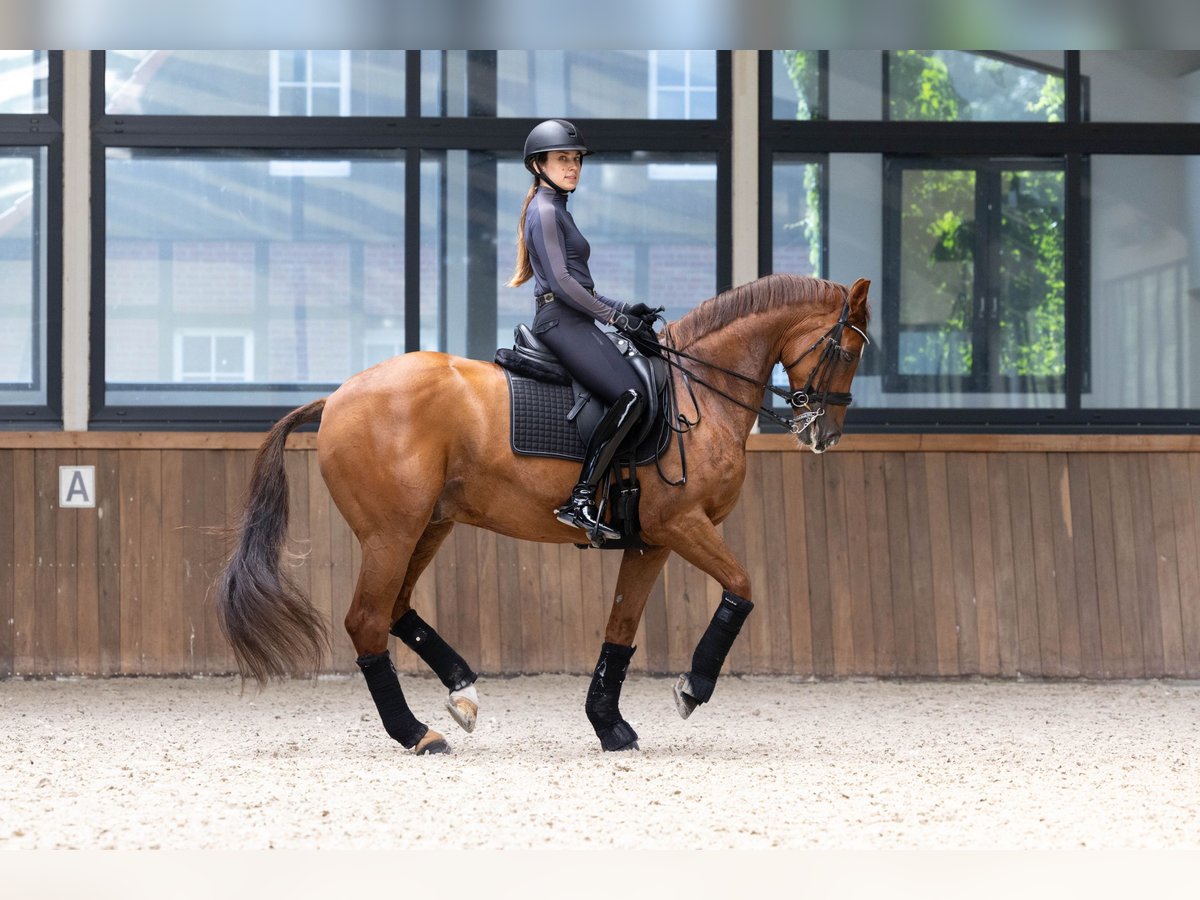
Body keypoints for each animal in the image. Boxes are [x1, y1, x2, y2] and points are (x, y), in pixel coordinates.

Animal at [218, 273, 873, 753]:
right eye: (845, 350)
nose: (826, 434)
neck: (697, 396)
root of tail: (337, 396)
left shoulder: (651, 539)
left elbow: (621, 629)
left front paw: (609, 726)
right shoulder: (682, 525)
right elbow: (742, 587)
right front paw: (693, 687)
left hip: (427, 526)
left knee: (396, 609)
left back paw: (463, 693)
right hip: (391, 534)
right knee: (366, 621)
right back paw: (417, 734)